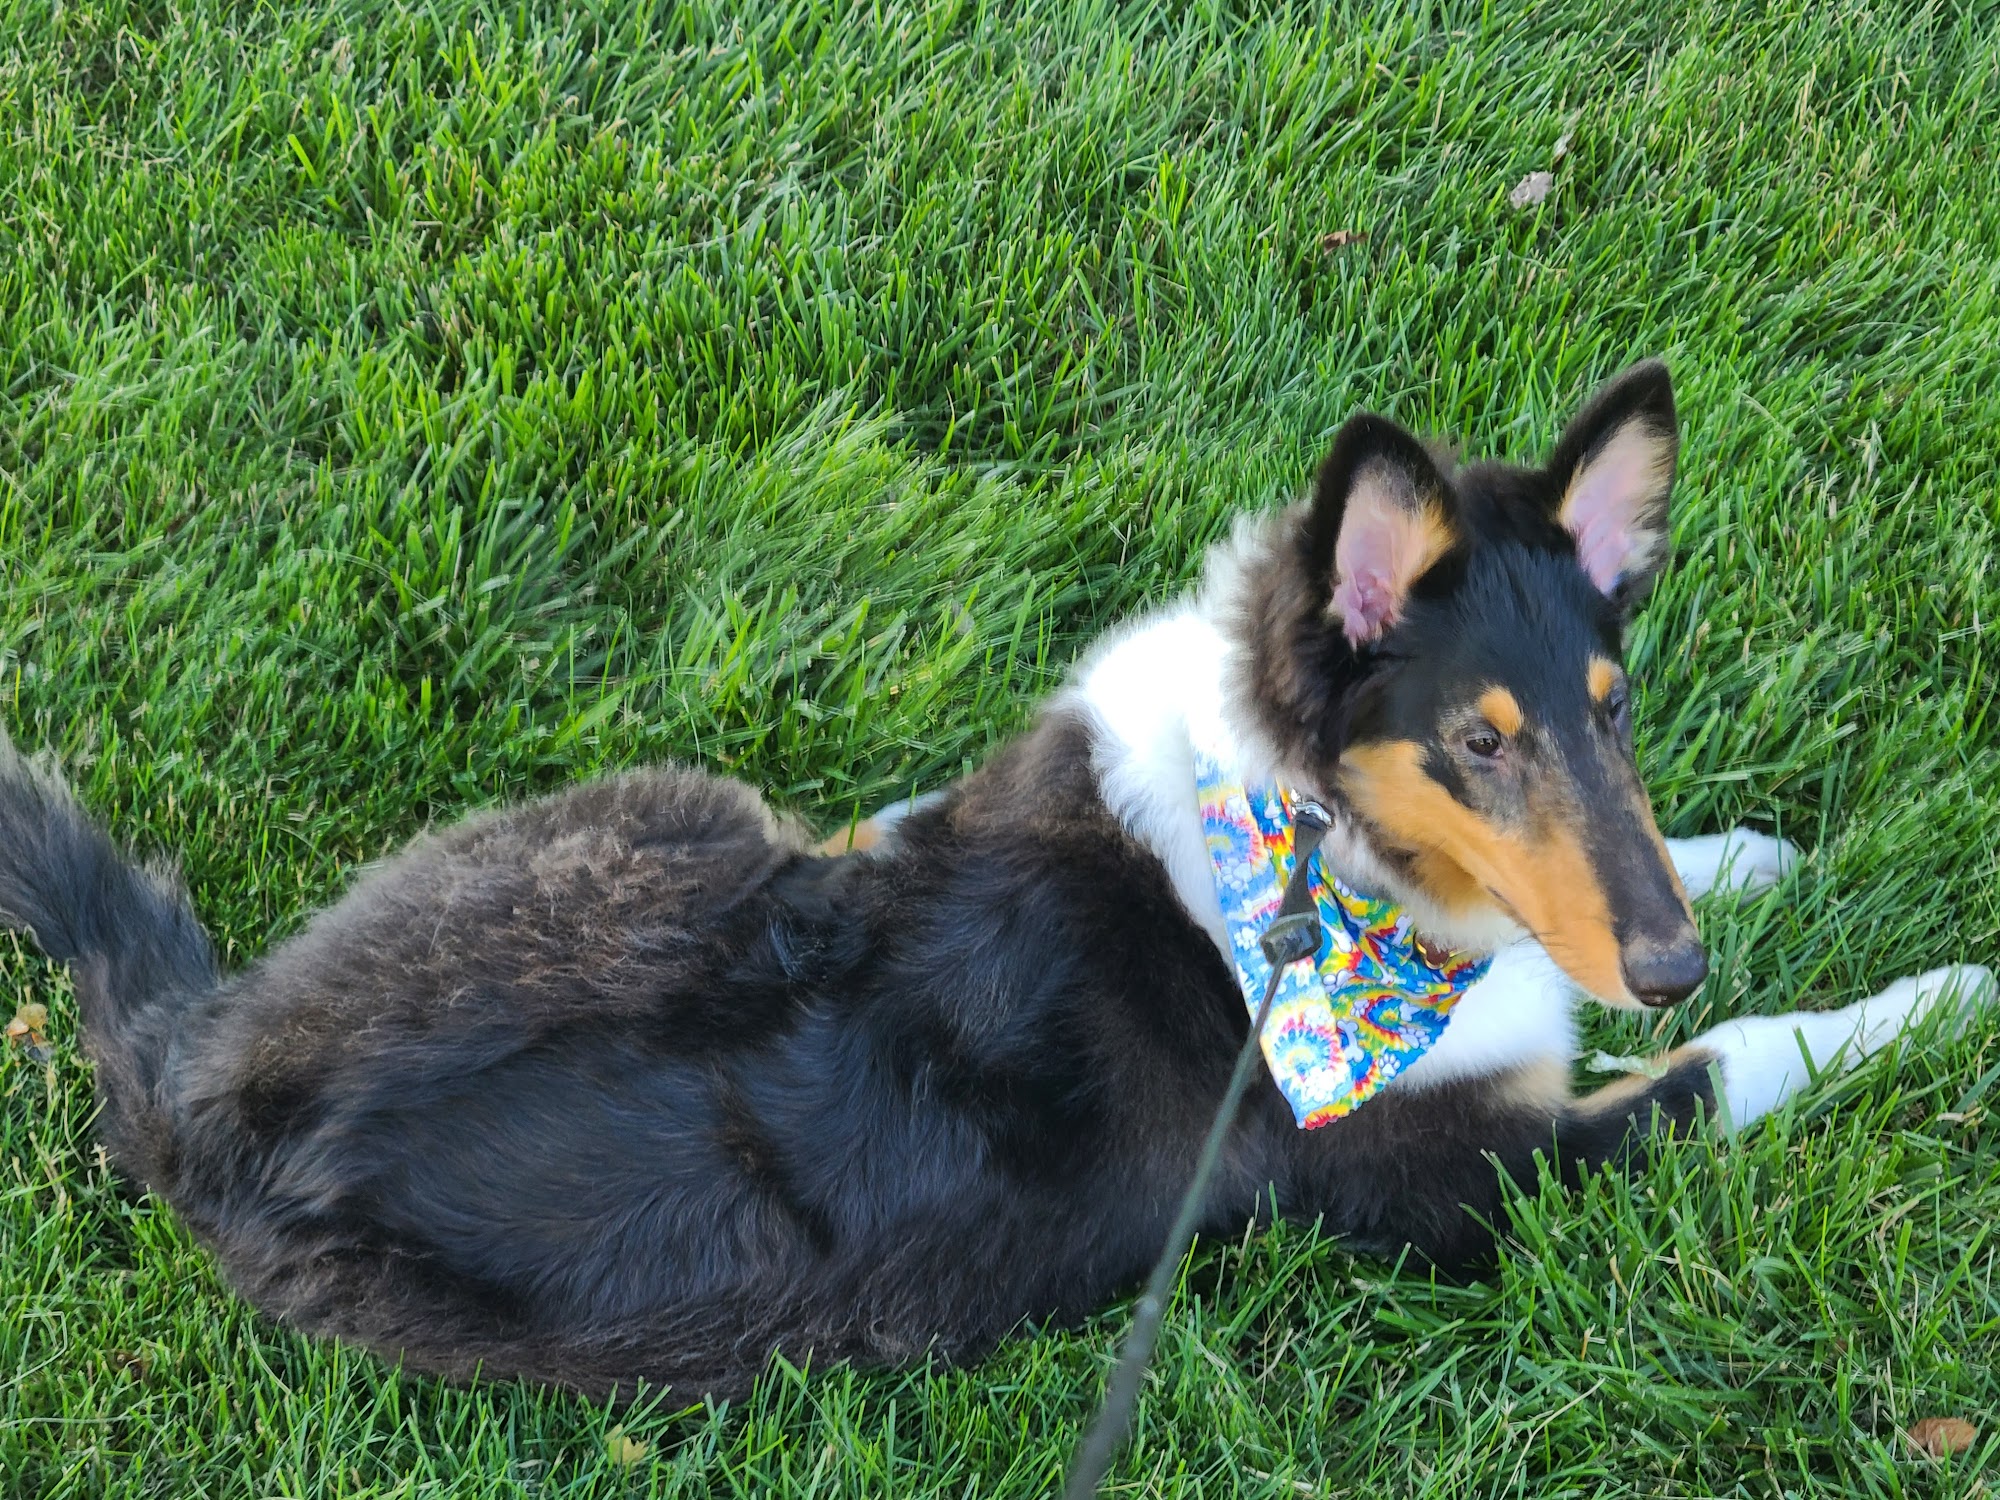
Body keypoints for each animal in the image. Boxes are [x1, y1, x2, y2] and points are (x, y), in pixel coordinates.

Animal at [1, 360, 1989, 1401]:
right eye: (1476, 746)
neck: (1313, 874)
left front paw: (1757, 858)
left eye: (1609, 708)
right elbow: (1750, 1058)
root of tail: (187, 1076)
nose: (1667, 963)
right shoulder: (1488, 1178)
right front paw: (1949, 994)